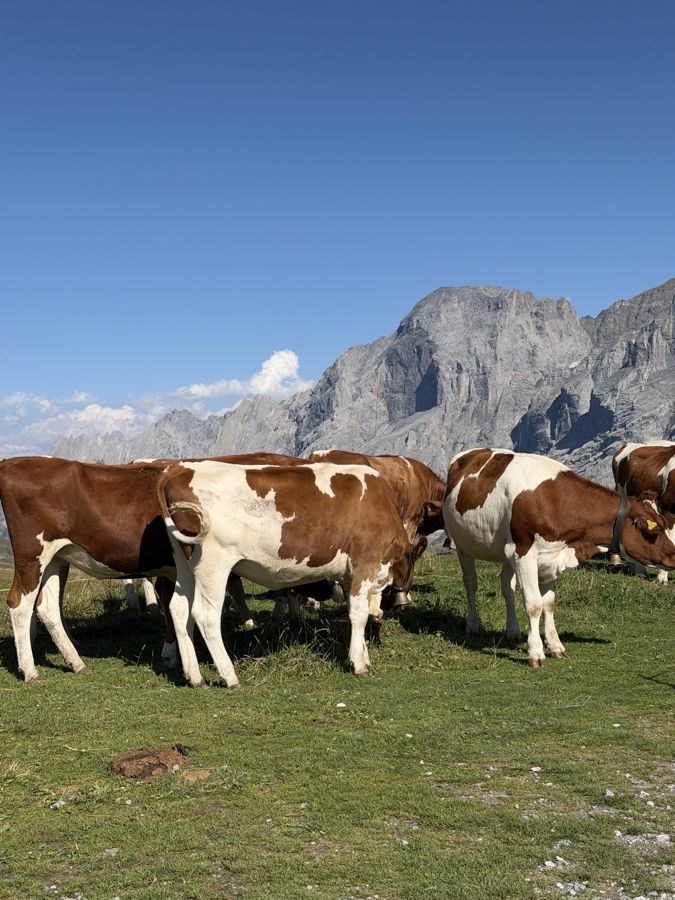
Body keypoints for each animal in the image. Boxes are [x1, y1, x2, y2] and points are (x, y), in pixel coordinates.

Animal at [156, 460, 422, 687]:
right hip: (213, 564)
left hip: (184, 565)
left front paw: (363, 655)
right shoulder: (366, 563)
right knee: (206, 616)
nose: (399, 605)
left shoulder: (350, 575)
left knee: (179, 611)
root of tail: (179, 470)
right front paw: (358, 663)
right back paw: (229, 676)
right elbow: (358, 615)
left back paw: (195, 677)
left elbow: (357, 612)